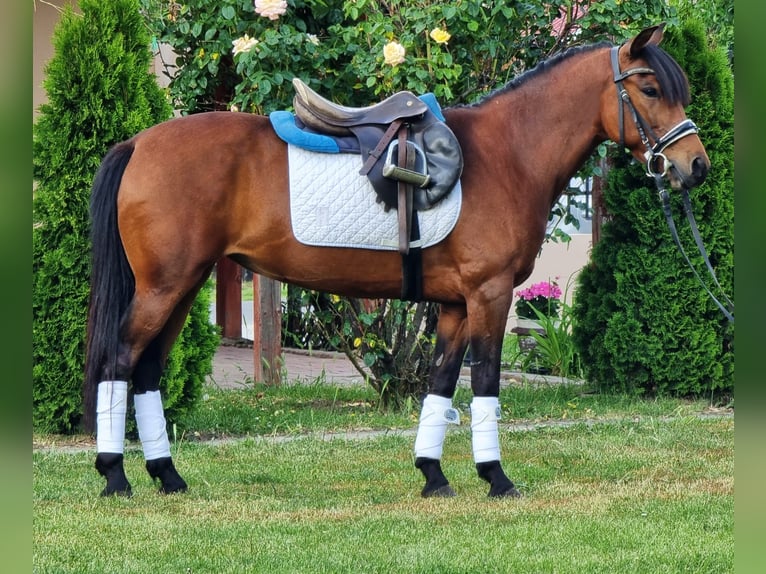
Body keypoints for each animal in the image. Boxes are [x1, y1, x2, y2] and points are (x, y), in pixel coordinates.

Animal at [83, 24, 709, 498]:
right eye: (650, 88)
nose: (695, 165)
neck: (508, 154)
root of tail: (138, 144)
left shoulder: (456, 305)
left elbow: (441, 383)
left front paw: (433, 475)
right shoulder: (490, 295)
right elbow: (485, 381)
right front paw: (496, 478)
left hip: (183, 286)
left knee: (146, 369)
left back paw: (167, 476)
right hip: (164, 287)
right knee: (119, 359)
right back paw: (115, 476)